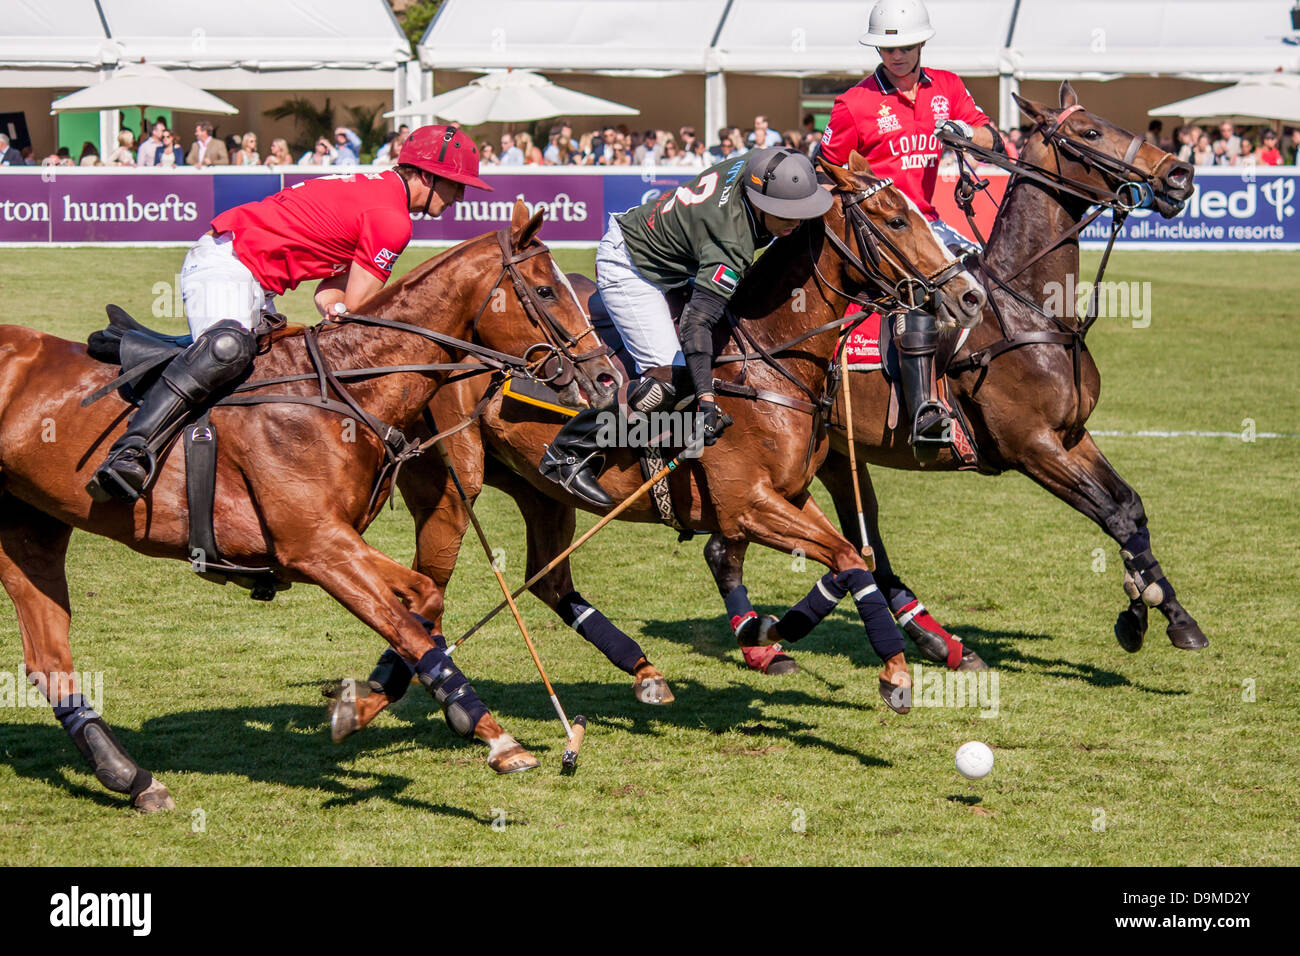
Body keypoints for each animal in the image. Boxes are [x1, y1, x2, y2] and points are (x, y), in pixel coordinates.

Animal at [0, 204, 618, 816]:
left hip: (31, 529)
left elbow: (423, 601)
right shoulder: (316, 546)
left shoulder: (334, 541)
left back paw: (131, 778)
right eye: (546, 288)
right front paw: (494, 736)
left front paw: (365, 704)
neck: (346, 390)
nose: (606, 377)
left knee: (48, 660)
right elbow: (406, 624)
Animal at [330, 153, 987, 738]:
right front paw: (891, 672)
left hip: (538, 492)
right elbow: (849, 556)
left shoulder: (790, 495)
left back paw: (642, 671)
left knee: (545, 582)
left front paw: (775, 634)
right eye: (895, 220)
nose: (971, 296)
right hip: (450, 489)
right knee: (428, 587)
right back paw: (384, 696)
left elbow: (852, 559)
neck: (766, 359)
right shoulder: (748, 503)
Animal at [707, 82, 1201, 665]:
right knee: (752, 544)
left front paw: (1164, 610)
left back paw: (935, 639)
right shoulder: (1031, 446)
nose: (1180, 173)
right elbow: (1115, 516)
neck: (1028, 308)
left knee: (856, 542)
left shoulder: (1072, 435)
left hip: (832, 456)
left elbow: (1131, 508)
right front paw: (1150, 614)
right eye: (1090, 132)